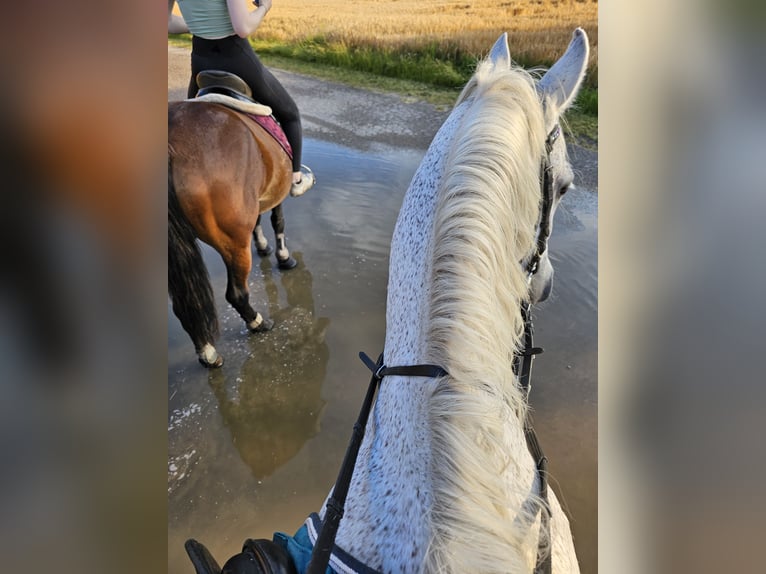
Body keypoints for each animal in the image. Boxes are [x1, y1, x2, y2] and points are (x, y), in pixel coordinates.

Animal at [170, 99, 298, 368]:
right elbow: (278, 220)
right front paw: (283, 257)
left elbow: (260, 219)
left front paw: (263, 245)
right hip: (234, 244)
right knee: (236, 293)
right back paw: (258, 323)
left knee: (185, 302)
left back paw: (207, 351)